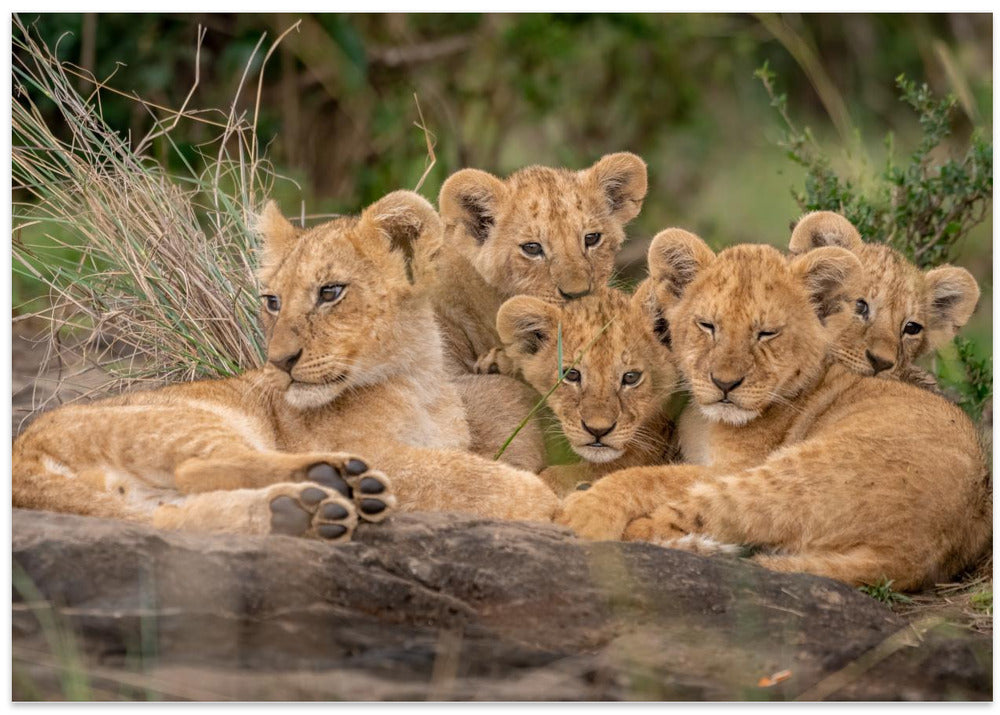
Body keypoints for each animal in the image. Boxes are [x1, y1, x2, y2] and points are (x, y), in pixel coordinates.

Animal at [13, 191, 559, 542]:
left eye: (330, 292)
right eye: (272, 301)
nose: (279, 361)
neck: (419, 381)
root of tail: (21, 458)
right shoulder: (382, 452)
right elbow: (470, 477)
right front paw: (547, 504)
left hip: (146, 502)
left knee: (174, 518)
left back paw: (303, 510)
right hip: (187, 421)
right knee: (197, 467)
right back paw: (334, 479)